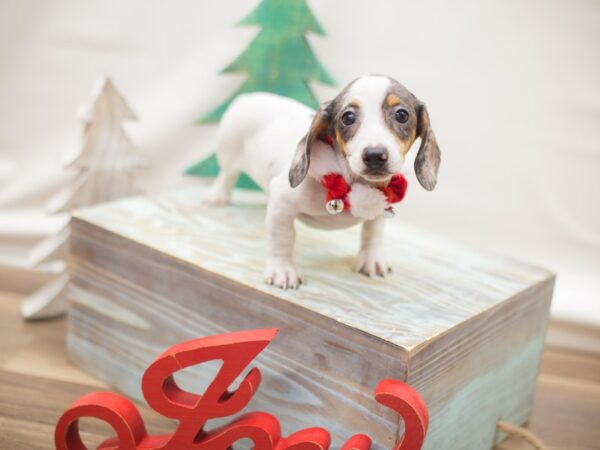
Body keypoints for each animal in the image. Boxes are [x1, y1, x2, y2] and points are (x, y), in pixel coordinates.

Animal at [206, 74, 440, 288]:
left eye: (402, 114)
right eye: (348, 117)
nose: (374, 155)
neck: (348, 181)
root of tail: (247, 97)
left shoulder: (380, 204)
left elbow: (373, 232)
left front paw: (371, 259)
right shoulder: (282, 204)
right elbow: (282, 238)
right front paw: (282, 270)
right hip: (229, 152)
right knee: (227, 174)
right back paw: (217, 195)